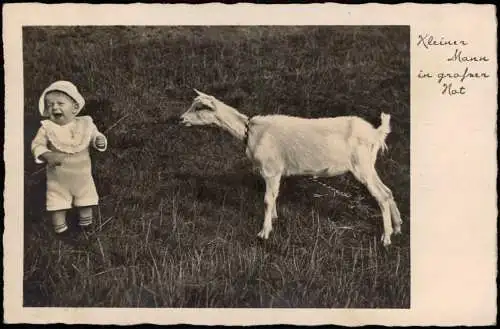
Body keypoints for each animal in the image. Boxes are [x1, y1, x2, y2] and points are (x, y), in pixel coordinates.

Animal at [180, 88, 402, 245]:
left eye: (199, 108)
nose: (181, 119)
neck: (249, 132)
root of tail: (376, 133)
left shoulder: (271, 170)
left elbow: (267, 199)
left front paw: (264, 233)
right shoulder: (277, 172)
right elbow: (274, 196)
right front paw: (275, 219)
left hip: (361, 166)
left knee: (382, 196)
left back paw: (386, 238)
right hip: (368, 166)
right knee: (388, 191)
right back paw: (398, 227)